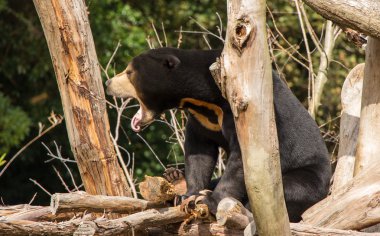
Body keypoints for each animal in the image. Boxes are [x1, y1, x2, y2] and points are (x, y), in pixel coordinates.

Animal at [105, 47, 332, 222]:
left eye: (129, 72)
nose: (108, 83)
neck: (202, 101)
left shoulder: (243, 109)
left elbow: (243, 157)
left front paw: (210, 200)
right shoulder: (202, 119)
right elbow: (199, 151)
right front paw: (189, 195)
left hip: (308, 177)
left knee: (287, 190)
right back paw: (175, 180)